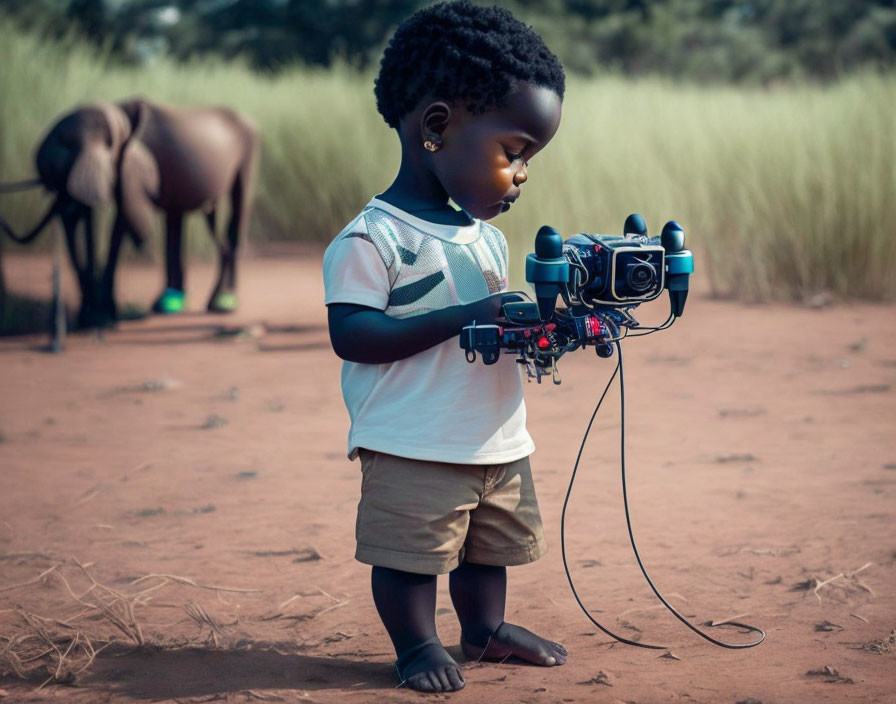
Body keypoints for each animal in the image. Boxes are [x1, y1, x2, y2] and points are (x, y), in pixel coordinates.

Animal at [0, 99, 260, 328]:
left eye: (64, 148)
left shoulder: (128, 170)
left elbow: (121, 221)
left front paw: (103, 318)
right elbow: (88, 216)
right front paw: (93, 320)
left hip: (247, 154)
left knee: (237, 207)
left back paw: (223, 304)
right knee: (191, 222)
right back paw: (173, 303)